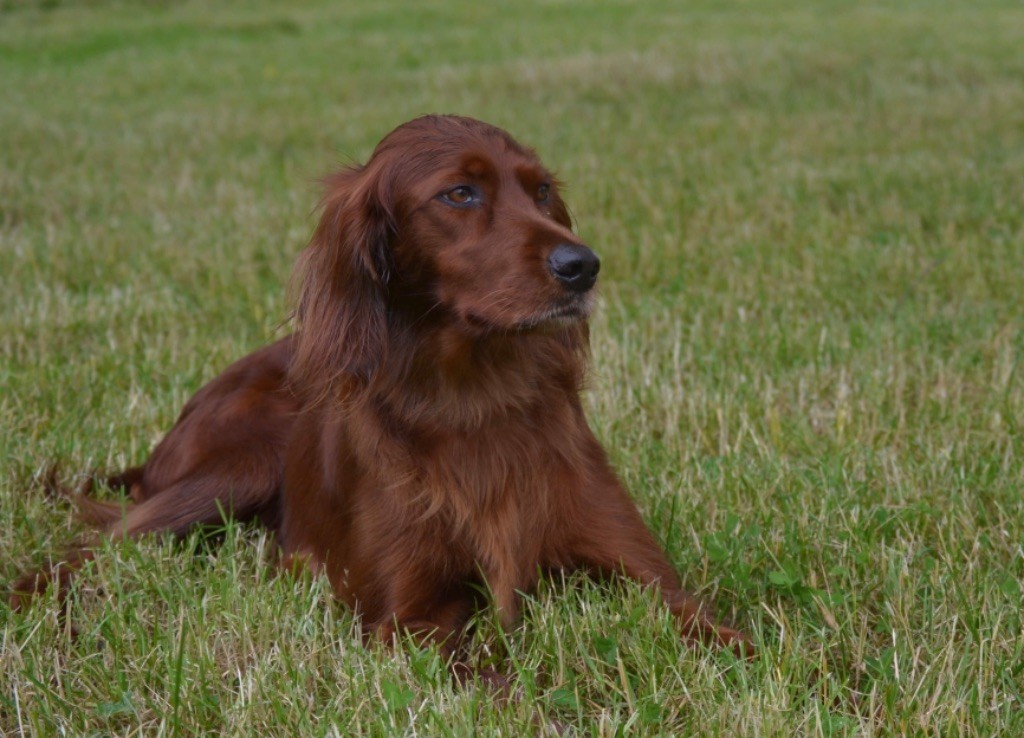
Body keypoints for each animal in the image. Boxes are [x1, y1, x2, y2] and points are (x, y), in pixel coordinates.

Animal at [12, 115, 753, 663]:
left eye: (542, 191)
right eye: (460, 193)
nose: (583, 265)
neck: (473, 395)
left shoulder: (646, 575)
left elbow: (726, 636)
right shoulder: (409, 617)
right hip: (232, 469)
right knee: (93, 543)